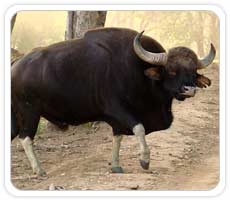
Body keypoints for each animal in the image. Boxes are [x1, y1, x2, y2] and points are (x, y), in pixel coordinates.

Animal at [11, 27, 216, 175]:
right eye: (172, 70)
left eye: (193, 72)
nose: (190, 89)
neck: (139, 73)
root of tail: (16, 65)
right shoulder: (118, 110)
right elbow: (139, 128)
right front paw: (144, 160)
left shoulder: (117, 119)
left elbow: (118, 136)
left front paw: (116, 166)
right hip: (30, 112)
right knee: (25, 138)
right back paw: (39, 170)